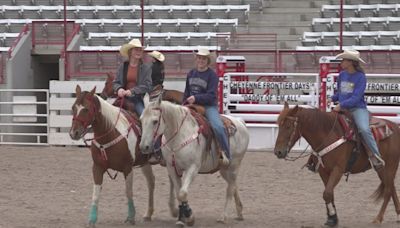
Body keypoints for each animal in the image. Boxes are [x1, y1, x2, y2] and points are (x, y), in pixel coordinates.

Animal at [69, 86, 177, 228]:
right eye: (73, 107)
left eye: (86, 109)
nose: (73, 133)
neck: (110, 133)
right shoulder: (97, 167)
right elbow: (96, 193)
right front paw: (92, 219)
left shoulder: (128, 168)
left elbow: (128, 192)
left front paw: (131, 216)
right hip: (145, 163)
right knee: (151, 182)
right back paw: (148, 214)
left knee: (172, 180)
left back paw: (174, 210)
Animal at [139, 94, 248, 226]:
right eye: (141, 120)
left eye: (155, 121)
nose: (144, 147)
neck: (180, 136)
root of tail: (240, 122)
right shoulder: (172, 168)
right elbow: (178, 193)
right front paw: (181, 218)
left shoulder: (192, 168)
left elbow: (182, 193)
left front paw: (189, 217)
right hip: (223, 169)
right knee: (233, 185)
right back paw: (240, 211)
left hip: (234, 166)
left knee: (230, 189)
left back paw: (223, 217)